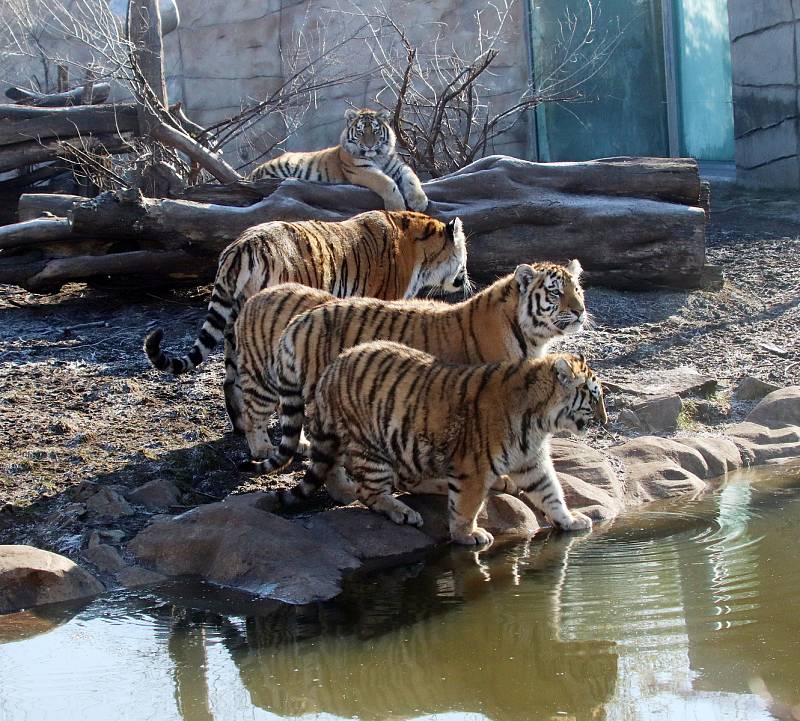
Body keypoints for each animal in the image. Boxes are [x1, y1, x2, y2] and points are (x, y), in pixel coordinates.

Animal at [241, 256, 584, 480]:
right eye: (555, 292)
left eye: (577, 290)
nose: (581, 311)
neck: (530, 336)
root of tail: (300, 318)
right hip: (274, 381)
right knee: (255, 414)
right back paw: (262, 448)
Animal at [248, 107, 432, 211]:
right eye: (360, 131)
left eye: (375, 130)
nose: (370, 145)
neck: (378, 156)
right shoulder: (361, 170)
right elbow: (386, 182)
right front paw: (397, 207)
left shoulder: (399, 167)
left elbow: (412, 177)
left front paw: (419, 201)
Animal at [284, 340, 604, 544]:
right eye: (593, 395)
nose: (604, 421)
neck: (541, 421)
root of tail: (332, 368)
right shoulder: (474, 467)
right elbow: (467, 505)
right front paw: (468, 535)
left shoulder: (531, 462)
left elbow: (551, 493)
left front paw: (570, 520)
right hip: (371, 444)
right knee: (370, 491)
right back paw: (403, 512)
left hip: (406, 448)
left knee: (403, 481)